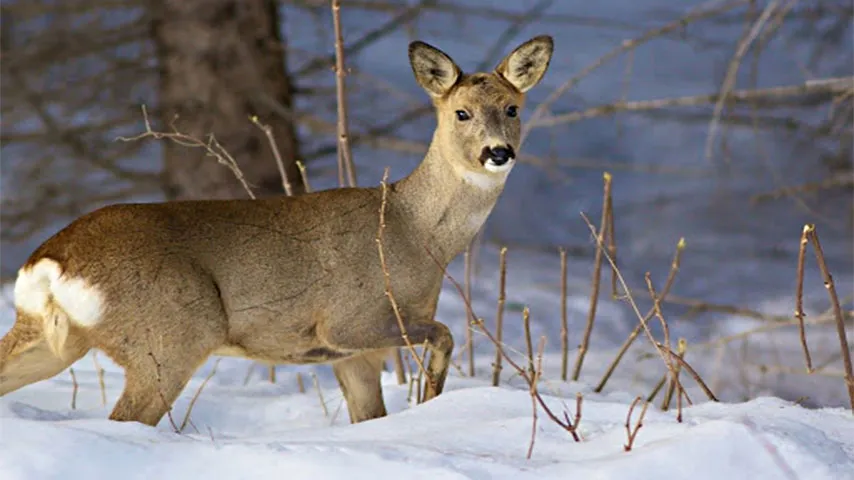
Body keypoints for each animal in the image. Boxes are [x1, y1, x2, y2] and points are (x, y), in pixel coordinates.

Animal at [0, 37, 556, 428]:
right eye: (461, 112)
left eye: (513, 108)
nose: (498, 152)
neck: (412, 232)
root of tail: (52, 260)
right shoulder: (348, 322)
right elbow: (444, 333)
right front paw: (431, 398)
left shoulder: (354, 355)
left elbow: (369, 417)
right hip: (171, 333)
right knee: (128, 417)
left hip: (51, 338)